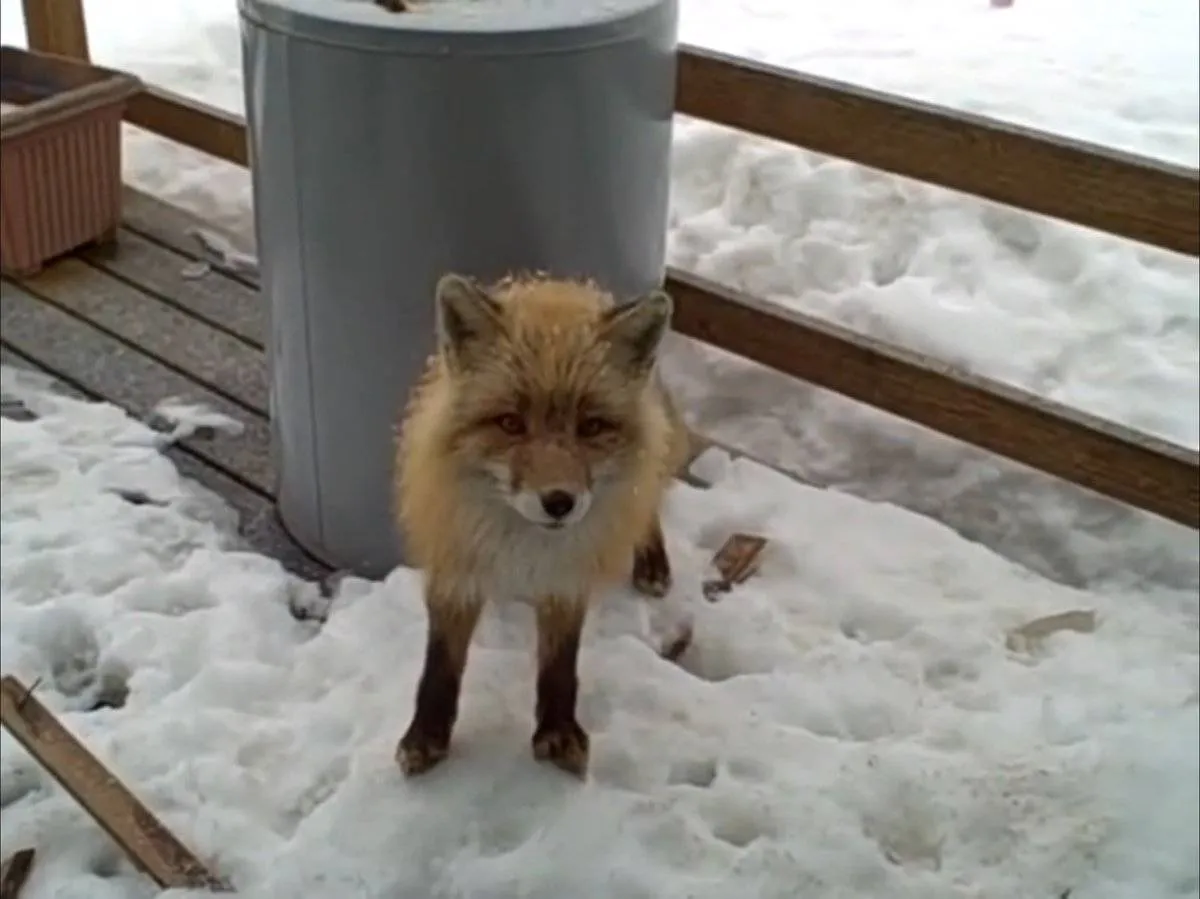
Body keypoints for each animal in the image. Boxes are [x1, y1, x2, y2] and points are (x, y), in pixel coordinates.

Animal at [396, 270, 696, 772]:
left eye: (591, 427)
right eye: (510, 423)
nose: (559, 502)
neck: (525, 546)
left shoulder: (566, 576)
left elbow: (560, 666)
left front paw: (556, 732)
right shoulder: (456, 565)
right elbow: (440, 663)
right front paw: (427, 735)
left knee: (648, 499)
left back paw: (651, 560)